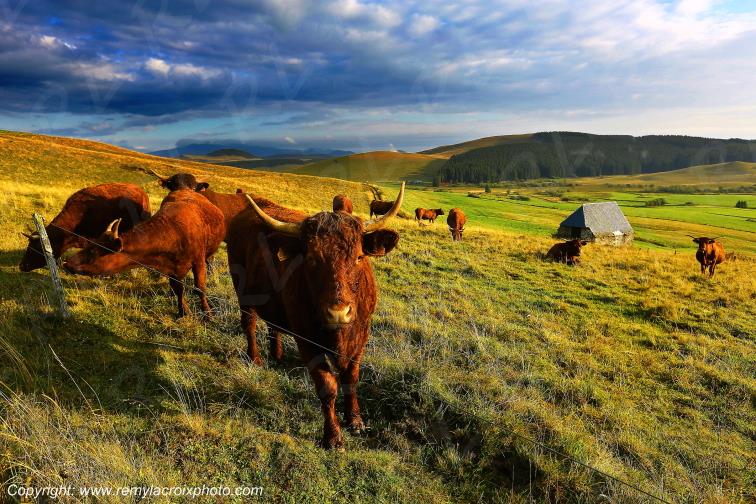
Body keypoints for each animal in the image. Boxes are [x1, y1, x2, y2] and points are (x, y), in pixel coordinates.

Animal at [63, 190, 225, 318]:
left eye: (94, 250)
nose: (67, 263)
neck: (174, 232)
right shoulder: (171, 270)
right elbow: (178, 289)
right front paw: (183, 312)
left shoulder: (198, 262)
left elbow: (200, 288)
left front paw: (208, 314)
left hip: (208, 254)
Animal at [226, 183, 405, 449]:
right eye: (310, 259)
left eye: (359, 256)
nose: (338, 312)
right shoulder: (306, 339)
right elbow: (327, 386)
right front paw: (333, 436)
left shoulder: (362, 334)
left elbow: (351, 377)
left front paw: (356, 421)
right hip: (243, 292)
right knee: (249, 323)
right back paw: (255, 358)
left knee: (273, 324)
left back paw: (276, 354)